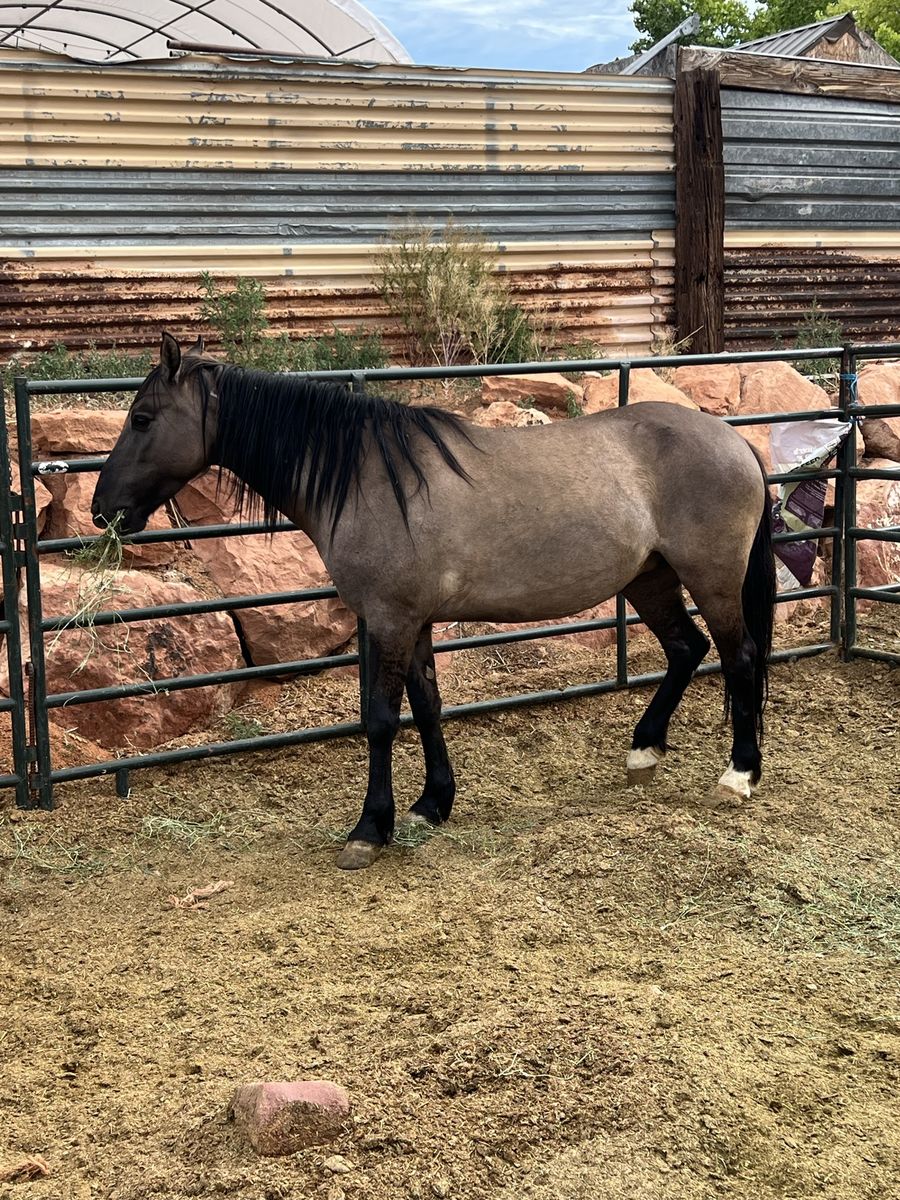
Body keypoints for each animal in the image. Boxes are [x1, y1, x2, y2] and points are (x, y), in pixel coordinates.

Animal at [92, 333, 775, 870]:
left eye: (144, 418)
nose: (103, 510)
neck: (368, 479)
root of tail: (735, 443)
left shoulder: (389, 620)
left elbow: (380, 719)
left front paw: (371, 829)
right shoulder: (413, 622)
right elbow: (426, 707)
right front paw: (432, 804)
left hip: (712, 578)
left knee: (737, 656)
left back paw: (738, 775)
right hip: (649, 579)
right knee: (686, 648)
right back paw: (644, 751)